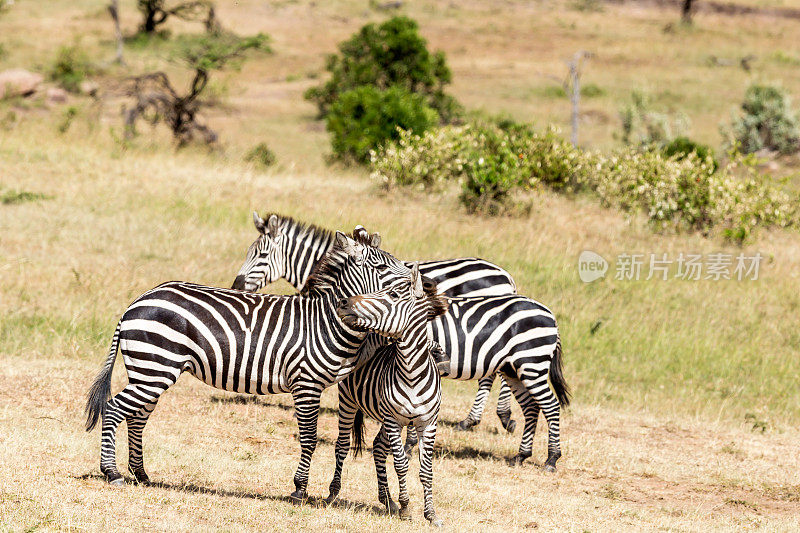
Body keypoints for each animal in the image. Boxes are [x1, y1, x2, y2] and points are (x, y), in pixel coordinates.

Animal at [85, 228, 412, 498]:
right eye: (382, 267)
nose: (415, 282)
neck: (326, 322)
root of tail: (135, 303)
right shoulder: (306, 383)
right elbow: (309, 438)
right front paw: (299, 490)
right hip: (153, 370)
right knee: (114, 409)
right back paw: (112, 472)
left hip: (150, 372)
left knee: (137, 417)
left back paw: (141, 474)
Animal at [326, 260, 450, 524]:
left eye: (392, 295)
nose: (342, 302)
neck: (412, 374)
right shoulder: (394, 420)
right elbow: (401, 464)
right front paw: (406, 507)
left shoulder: (427, 423)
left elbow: (426, 470)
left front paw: (430, 514)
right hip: (348, 402)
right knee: (342, 445)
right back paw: (334, 492)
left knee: (378, 447)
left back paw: (387, 499)